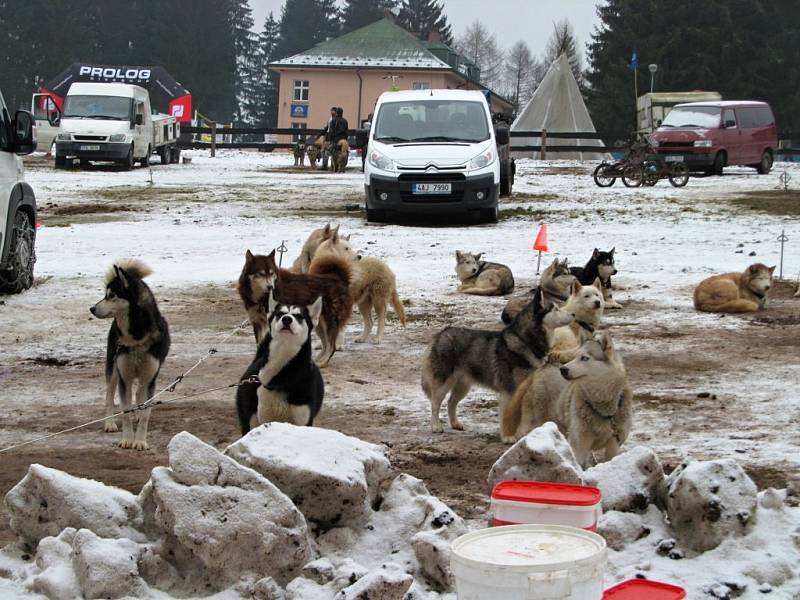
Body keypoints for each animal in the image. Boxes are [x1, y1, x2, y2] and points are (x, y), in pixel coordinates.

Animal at [90, 258, 170, 450]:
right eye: (106, 294)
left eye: (111, 295)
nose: (92, 308)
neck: (136, 336)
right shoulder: (124, 377)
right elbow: (125, 411)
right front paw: (127, 439)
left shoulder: (149, 378)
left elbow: (146, 413)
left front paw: (140, 440)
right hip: (113, 369)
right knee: (109, 396)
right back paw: (110, 423)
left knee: (139, 394)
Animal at [236, 292, 324, 434]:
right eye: (280, 314)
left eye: (299, 316)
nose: (286, 319)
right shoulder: (265, 418)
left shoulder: (303, 421)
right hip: (250, 418)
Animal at [418, 292, 576, 438]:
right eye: (555, 309)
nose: (573, 314)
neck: (525, 341)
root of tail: (441, 333)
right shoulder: (509, 391)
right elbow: (508, 414)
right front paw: (508, 437)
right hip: (443, 383)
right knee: (435, 404)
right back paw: (436, 426)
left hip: (463, 385)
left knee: (451, 402)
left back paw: (455, 424)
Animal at [506, 332, 632, 464]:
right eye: (575, 357)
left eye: (585, 358)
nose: (563, 369)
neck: (602, 407)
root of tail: (545, 366)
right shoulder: (579, 444)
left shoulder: (613, 444)